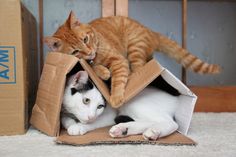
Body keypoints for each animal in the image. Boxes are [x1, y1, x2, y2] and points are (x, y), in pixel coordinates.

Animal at [44, 10, 221, 106]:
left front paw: (115, 97)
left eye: (85, 39)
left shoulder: (119, 60)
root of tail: (151, 31)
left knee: (138, 68)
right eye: (75, 52)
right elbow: (96, 68)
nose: (89, 52)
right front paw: (102, 71)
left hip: (135, 48)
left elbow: (118, 80)